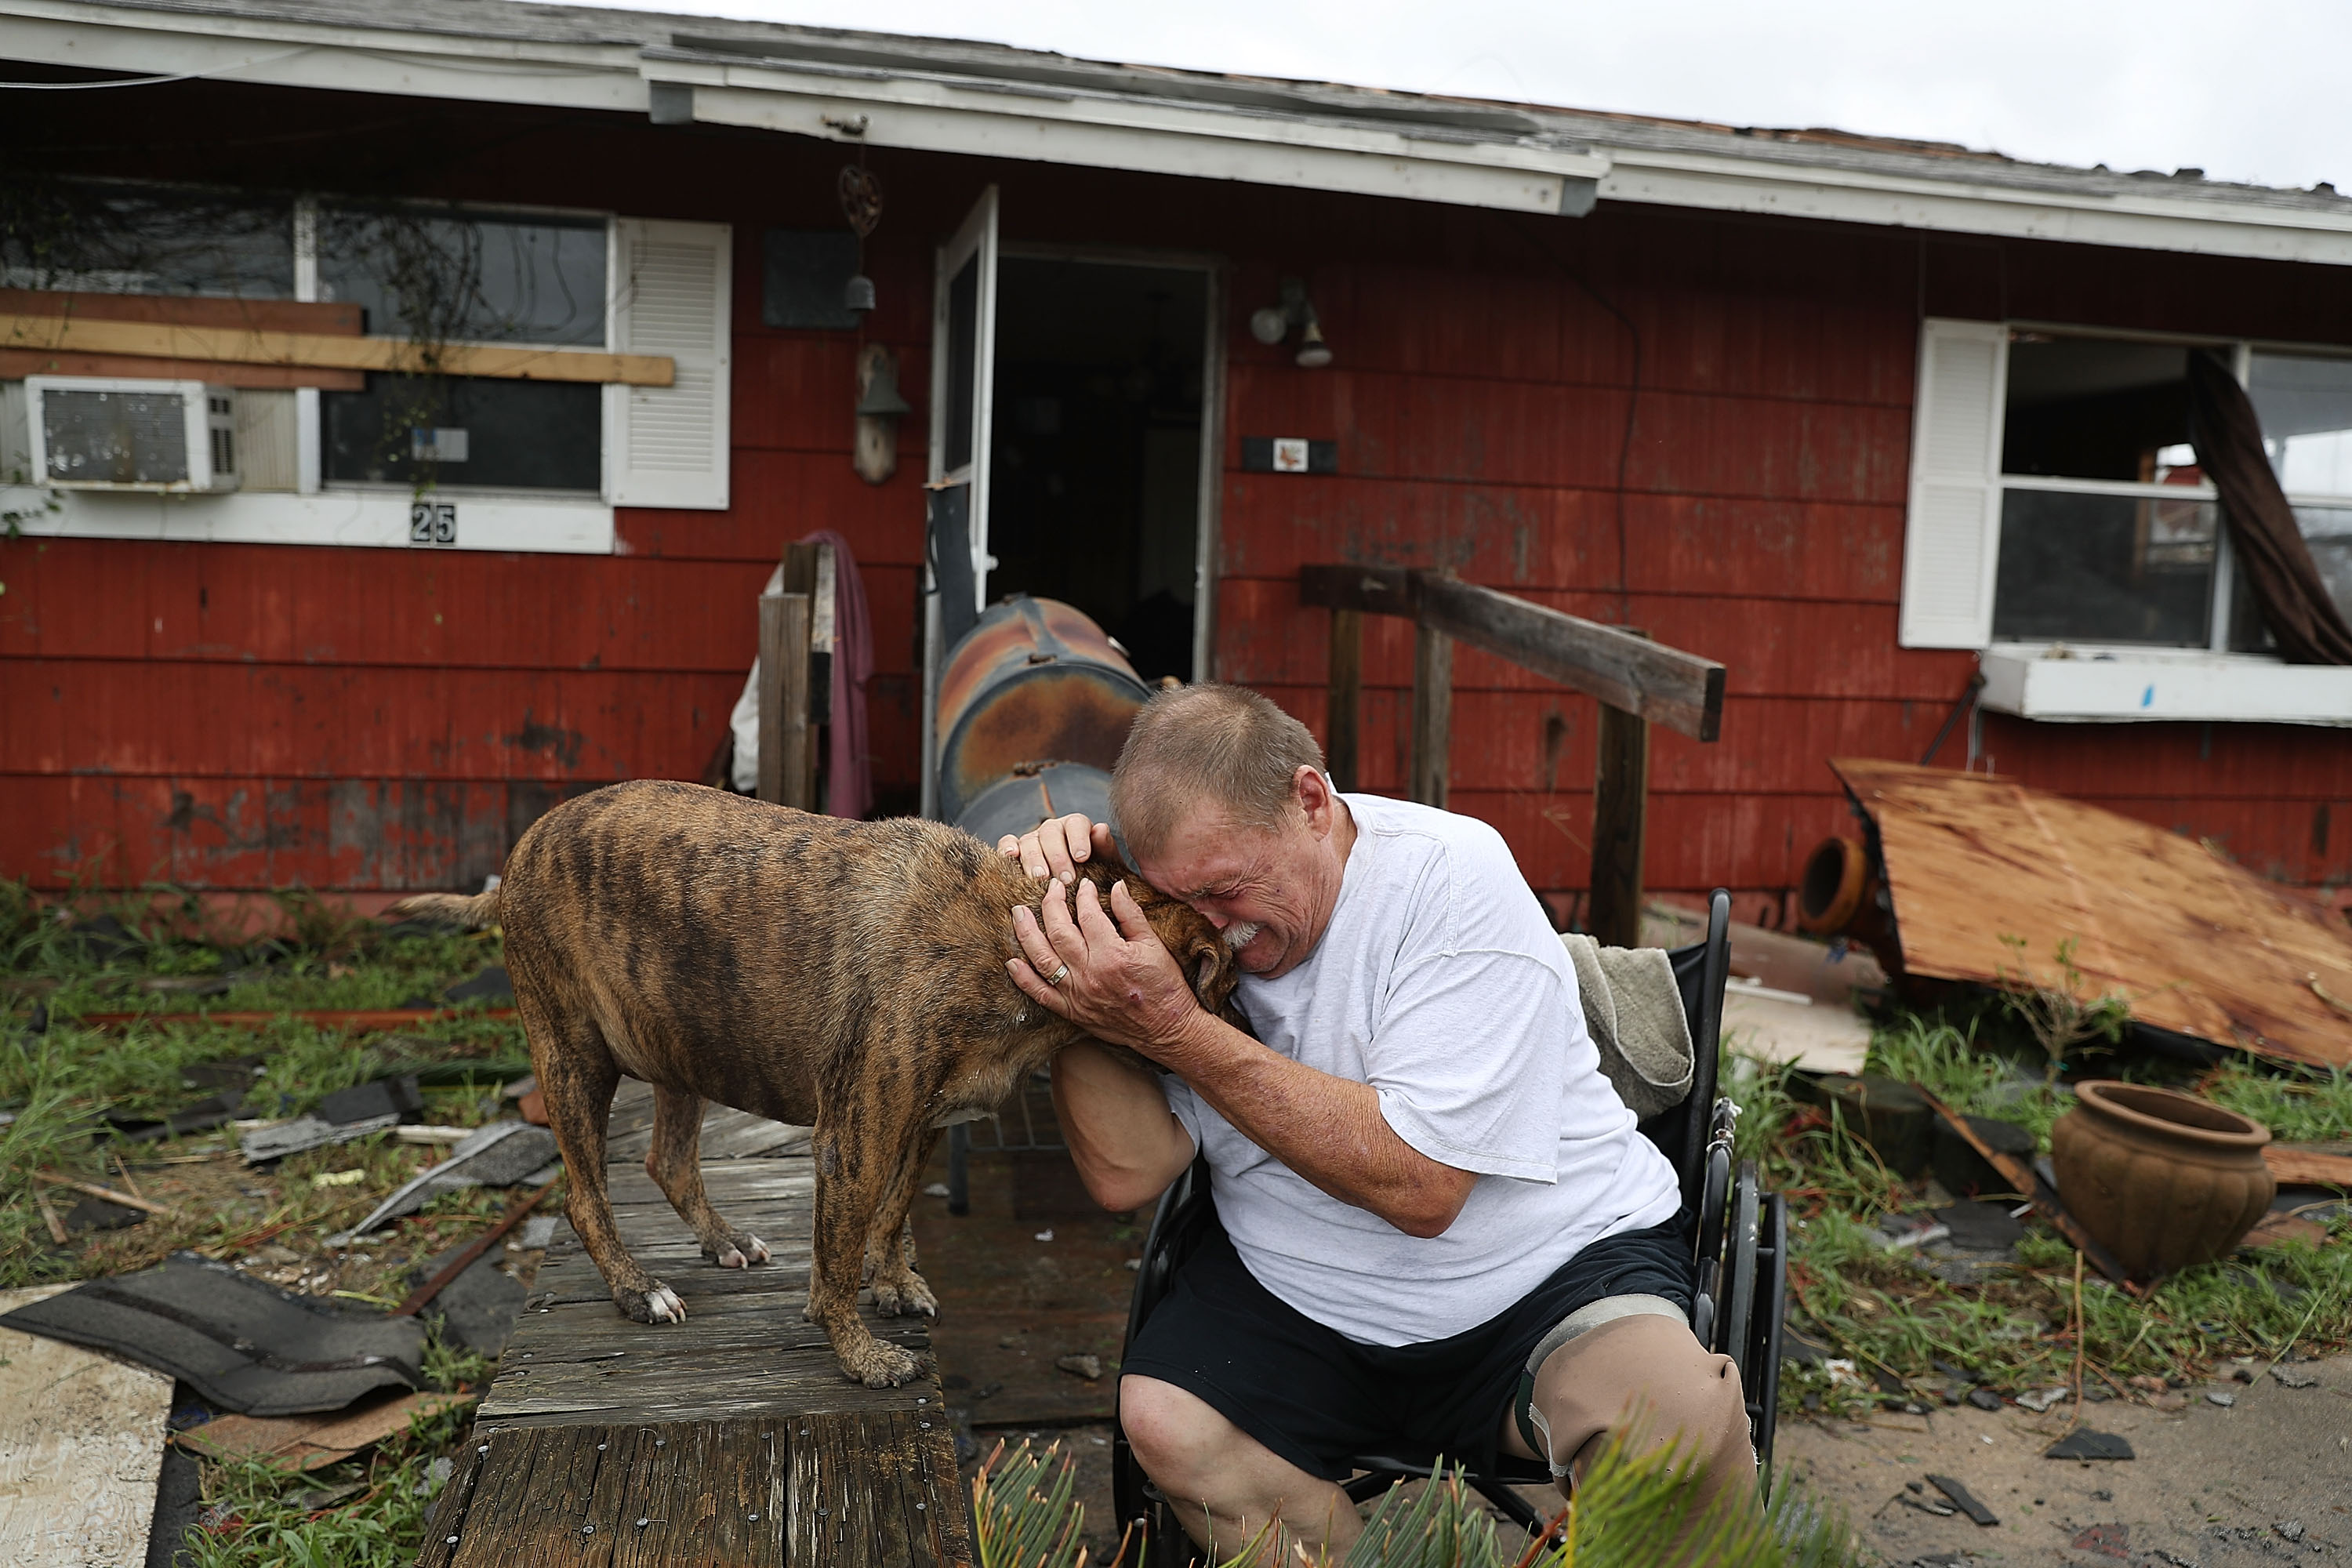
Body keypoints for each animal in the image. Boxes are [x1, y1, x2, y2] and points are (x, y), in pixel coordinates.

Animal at [381, 780, 1251, 1382]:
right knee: (584, 1195)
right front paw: (863, 1355)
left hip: (680, 1039)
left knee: (670, 1160)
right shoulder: (854, 1140)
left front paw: (893, 1281)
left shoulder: (920, 1124)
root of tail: (514, 863)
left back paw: (723, 1239)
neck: (1018, 925)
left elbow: (891, 1216)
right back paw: (636, 1289)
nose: (1249, 1030)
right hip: (573, 1056)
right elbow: (833, 1261)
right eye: (1227, 979)